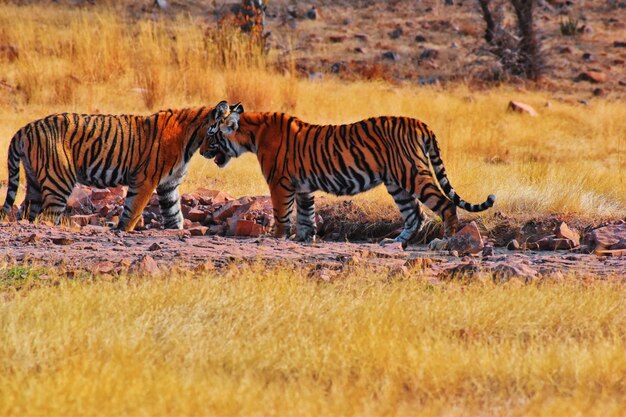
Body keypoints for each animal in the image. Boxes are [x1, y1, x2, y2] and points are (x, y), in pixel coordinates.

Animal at [1, 101, 232, 231]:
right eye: (231, 128)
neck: (192, 140)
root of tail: (25, 128)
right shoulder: (145, 180)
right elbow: (132, 211)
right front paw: (123, 230)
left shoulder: (169, 186)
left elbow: (174, 214)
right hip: (59, 180)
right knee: (46, 216)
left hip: (34, 182)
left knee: (28, 212)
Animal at [207, 105, 494, 247]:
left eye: (211, 134)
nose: (201, 150)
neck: (252, 135)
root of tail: (419, 123)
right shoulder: (302, 187)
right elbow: (305, 216)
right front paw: (305, 238)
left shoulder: (280, 183)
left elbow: (282, 215)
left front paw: (275, 237)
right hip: (397, 183)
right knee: (415, 215)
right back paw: (393, 242)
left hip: (413, 174)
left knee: (445, 205)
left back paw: (446, 241)